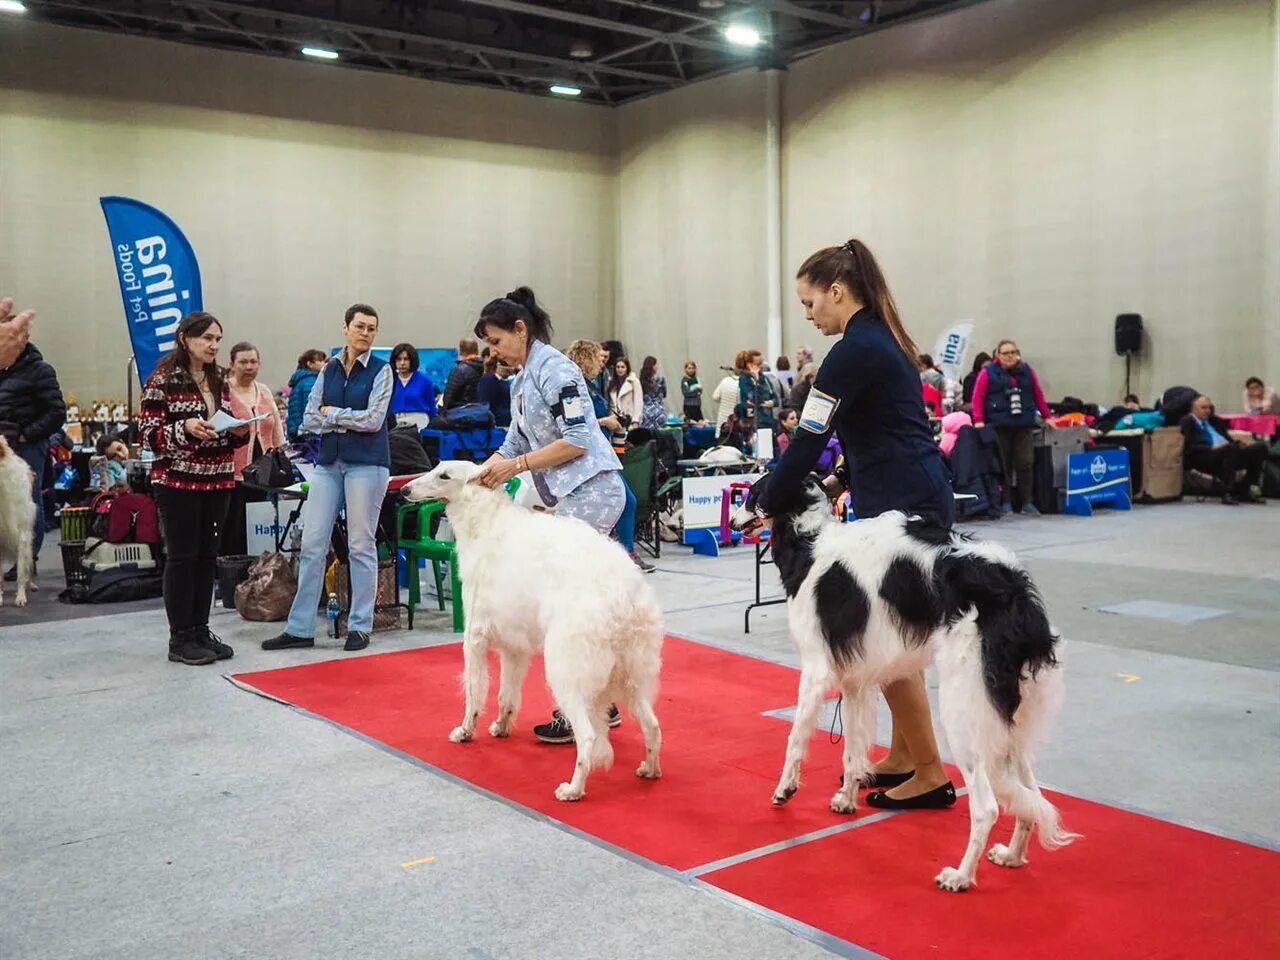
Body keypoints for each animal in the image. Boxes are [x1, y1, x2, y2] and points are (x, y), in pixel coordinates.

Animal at [732, 476, 1080, 896]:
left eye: (752, 494)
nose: (731, 521)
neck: (808, 541)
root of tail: (1016, 597)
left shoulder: (815, 672)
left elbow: (795, 739)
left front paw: (785, 790)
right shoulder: (854, 682)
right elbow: (852, 752)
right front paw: (846, 799)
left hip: (965, 715)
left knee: (987, 806)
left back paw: (960, 876)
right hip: (1010, 721)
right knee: (1031, 795)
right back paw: (1012, 856)